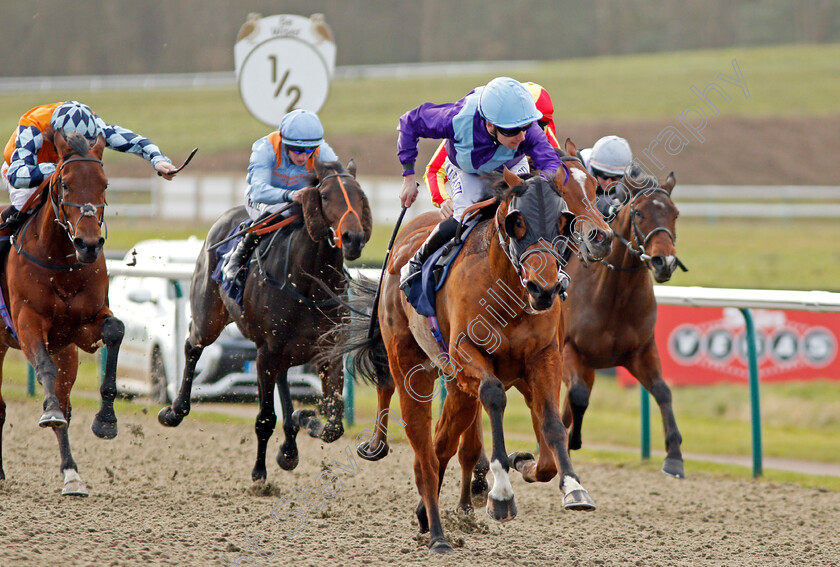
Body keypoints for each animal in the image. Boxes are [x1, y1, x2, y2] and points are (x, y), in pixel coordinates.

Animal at [0, 131, 124, 494]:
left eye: (105, 184)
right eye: (66, 184)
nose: (89, 244)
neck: (62, 265)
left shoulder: (79, 330)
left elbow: (116, 330)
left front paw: (106, 420)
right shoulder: (27, 322)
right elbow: (44, 369)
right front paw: (49, 409)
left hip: (66, 352)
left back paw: (71, 474)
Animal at [158, 159, 370, 480]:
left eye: (360, 195)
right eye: (325, 196)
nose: (353, 238)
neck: (308, 283)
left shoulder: (328, 352)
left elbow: (334, 426)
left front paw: (304, 419)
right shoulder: (266, 353)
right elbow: (265, 418)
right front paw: (259, 473)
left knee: (282, 377)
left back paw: (290, 445)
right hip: (211, 317)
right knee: (192, 345)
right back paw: (174, 411)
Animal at [332, 145, 612, 556]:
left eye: (592, 188)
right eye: (517, 222)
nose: (600, 236)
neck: (509, 290)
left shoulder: (543, 358)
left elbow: (550, 430)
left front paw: (564, 483)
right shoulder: (468, 353)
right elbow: (493, 397)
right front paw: (500, 492)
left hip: (456, 382)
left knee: (443, 444)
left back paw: (431, 511)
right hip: (414, 368)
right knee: (424, 450)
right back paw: (437, 534)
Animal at [560, 169, 684, 480]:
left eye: (675, 213)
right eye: (639, 213)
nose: (664, 262)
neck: (615, 292)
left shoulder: (641, 351)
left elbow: (663, 391)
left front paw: (674, 456)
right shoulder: (569, 350)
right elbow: (578, 396)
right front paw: (574, 439)